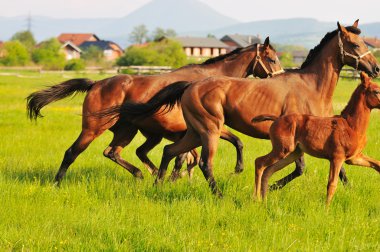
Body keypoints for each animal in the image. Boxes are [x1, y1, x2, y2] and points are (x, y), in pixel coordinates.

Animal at [26, 37, 282, 184]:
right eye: (271, 58)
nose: (279, 78)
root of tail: (96, 84)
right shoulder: (202, 129)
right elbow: (185, 158)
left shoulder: (199, 131)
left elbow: (232, 143)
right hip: (93, 128)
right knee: (72, 152)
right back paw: (57, 183)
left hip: (127, 131)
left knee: (112, 152)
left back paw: (141, 174)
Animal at [252, 72, 380, 206]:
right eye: (376, 91)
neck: (352, 126)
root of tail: (276, 119)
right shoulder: (337, 158)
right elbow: (332, 184)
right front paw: (326, 208)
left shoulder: (354, 157)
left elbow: (377, 164)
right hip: (282, 149)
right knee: (259, 162)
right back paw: (256, 198)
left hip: (293, 153)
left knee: (268, 171)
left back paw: (264, 200)